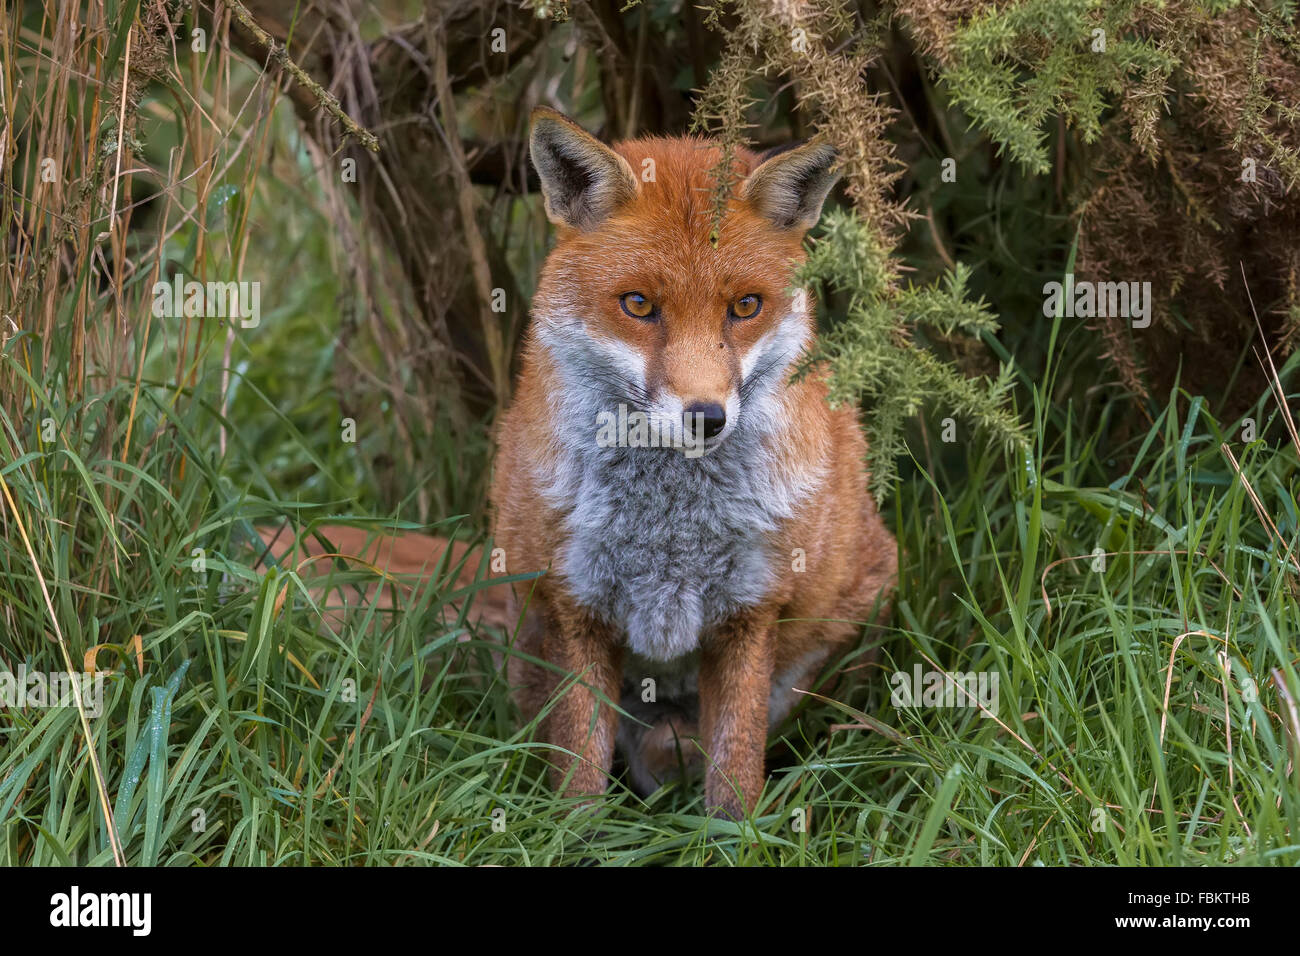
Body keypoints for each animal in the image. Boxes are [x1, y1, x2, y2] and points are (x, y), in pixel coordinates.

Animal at [488, 108, 894, 816]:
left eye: (745, 306)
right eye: (639, 305)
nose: (707, 416)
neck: (670, 529)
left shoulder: (751, 610)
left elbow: (736, 773)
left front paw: (738, 832)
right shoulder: (575, 604)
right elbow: (579, 775)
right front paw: (575, 832)